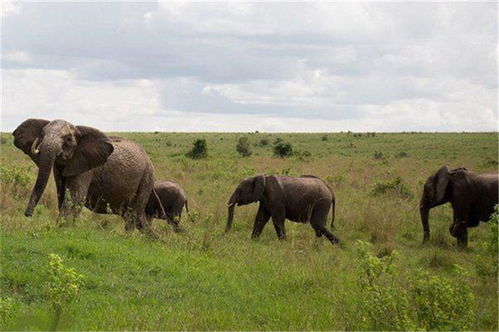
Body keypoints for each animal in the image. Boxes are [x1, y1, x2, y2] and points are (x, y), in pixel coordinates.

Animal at [11, 118, 180, 232]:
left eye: (68, 139)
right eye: (42, 134)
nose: (27, 214)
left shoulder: (86, 165)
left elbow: (74, 198)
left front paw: (61, 230)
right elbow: (62, 196)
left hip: (146, 177)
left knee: (135, 215)